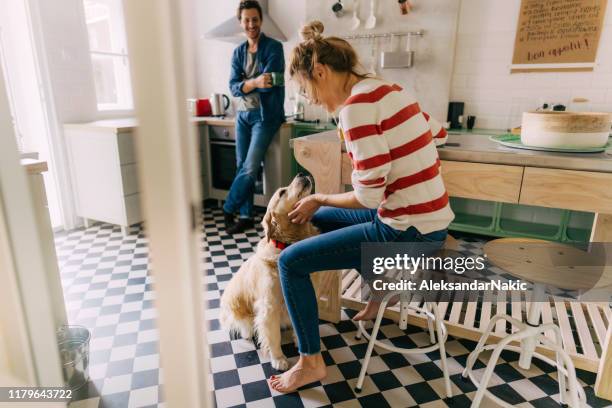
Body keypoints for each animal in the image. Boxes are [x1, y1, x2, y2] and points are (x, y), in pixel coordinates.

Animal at [219, 174, 318, 372]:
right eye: (282, 192)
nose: (301, 174)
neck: (285, 246)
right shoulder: (269, 306)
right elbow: (273, 336)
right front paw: (278, 359)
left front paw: (299, 342)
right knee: (244, 325)